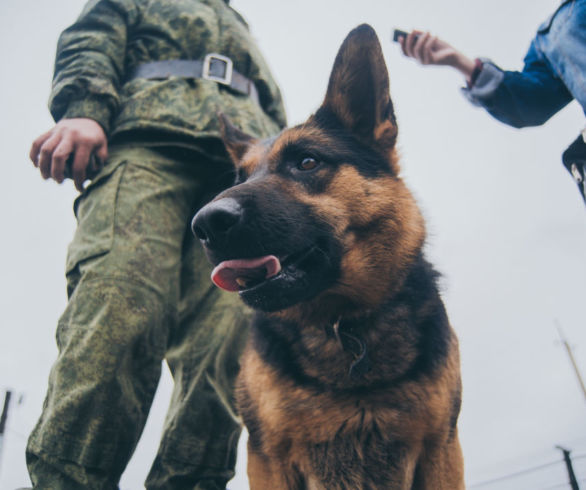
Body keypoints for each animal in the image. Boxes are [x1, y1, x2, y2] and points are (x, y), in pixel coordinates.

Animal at [192, 23, 460, 490]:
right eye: (239, 177)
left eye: (306, 162)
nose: (205, 223)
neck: (344, 327)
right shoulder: (268, 459)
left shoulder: (442, 451)